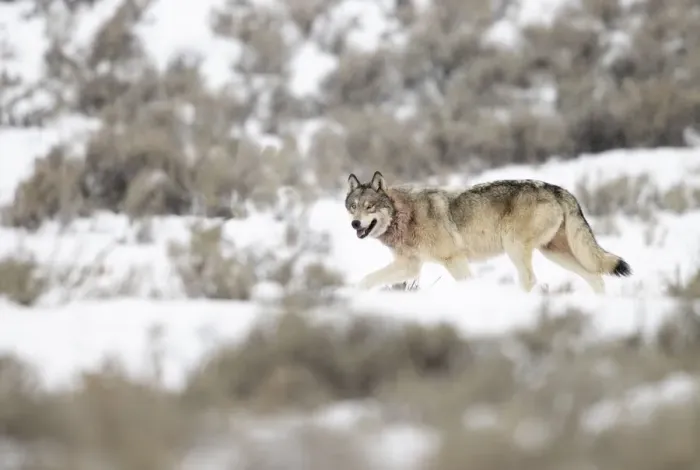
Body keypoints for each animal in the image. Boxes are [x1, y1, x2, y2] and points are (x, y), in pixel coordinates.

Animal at [345, 171, 631, 293]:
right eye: (353, 207)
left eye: (369, 207)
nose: (355, 225)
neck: (404, 214)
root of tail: (556, 188)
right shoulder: (410, 266)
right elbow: (367, 280)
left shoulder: (453, 260)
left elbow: (466, 282)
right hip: (553, 252)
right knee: (596, 277)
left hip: (515, 248)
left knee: (530, 281)